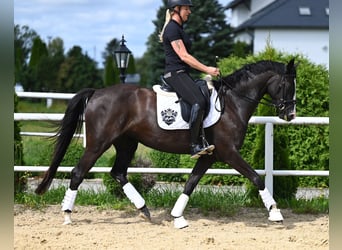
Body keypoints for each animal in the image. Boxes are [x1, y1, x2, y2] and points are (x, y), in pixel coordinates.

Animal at [35, 59, 296, 228]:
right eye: (287, 85)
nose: (290, 114)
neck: (231, 103)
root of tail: (97, 92)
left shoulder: (209, 156)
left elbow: (191, 183)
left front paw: (177, 217)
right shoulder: (228, 153)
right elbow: (256, 177)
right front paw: (275, 213)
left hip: (127, 144)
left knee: (118, 172)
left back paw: (144, 210)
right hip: (98, 144)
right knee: (79, 172)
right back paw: (67, 215)